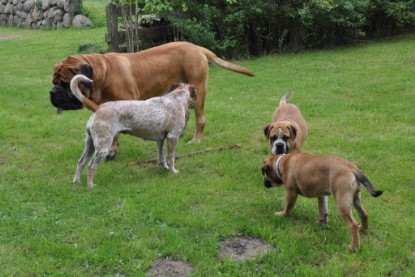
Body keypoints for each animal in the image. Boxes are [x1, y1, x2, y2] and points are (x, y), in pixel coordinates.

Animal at [50, 41, 255, 157]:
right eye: (54, 82)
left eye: (64, 84)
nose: (52, 93)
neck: (103, 75)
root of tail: (196, 47)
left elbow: (115, 133)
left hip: (198, 91)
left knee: (200, 119)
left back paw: (196, 140)